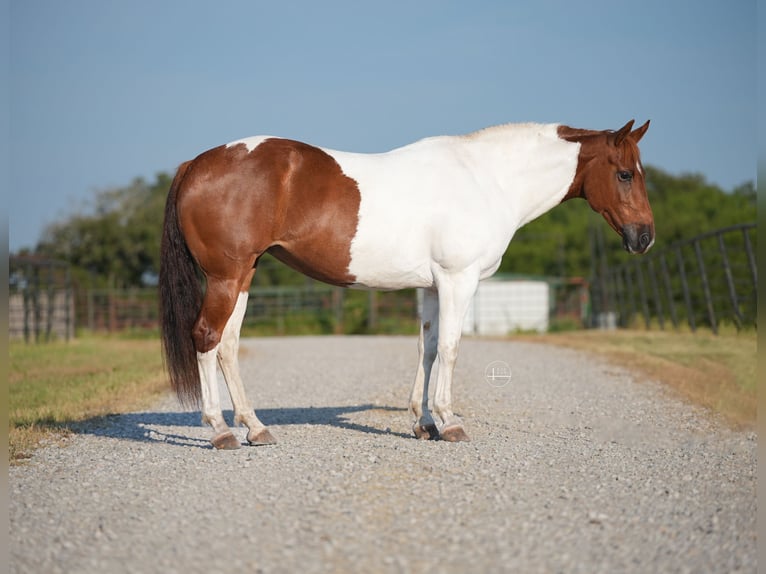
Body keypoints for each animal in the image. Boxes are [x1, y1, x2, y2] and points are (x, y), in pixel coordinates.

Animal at [160, 119, 656, 450]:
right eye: (625, 173)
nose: (645, 237)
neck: (486, 179)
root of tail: (196, 163)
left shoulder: (433, 286)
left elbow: (429, 348)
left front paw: (424, 423)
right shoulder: (458, 279)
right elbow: (453, 348)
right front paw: (450, 422)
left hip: (244, 275)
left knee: (227, 346)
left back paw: (255, 427)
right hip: (226, 276)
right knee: (206, 337)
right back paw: (220, 430)